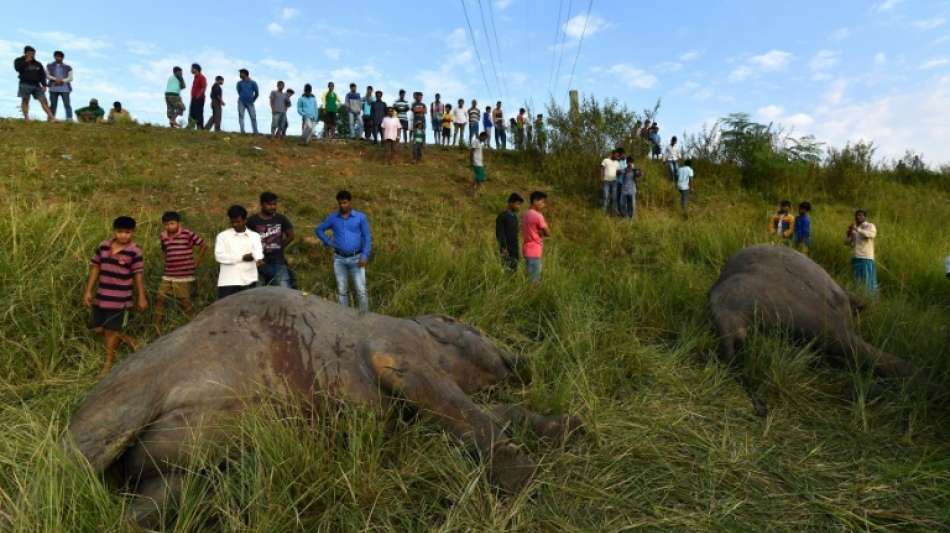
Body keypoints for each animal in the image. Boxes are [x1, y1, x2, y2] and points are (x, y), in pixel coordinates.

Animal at [65, 286, 580, 524]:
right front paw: (524, 478)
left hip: (185, 466)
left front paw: (566, 428)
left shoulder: (413, 411)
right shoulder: (400, 354)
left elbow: (487, 415)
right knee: (72, 463)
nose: (523, 360)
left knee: (154, 499)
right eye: (477, 331)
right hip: (125, 398)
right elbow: (465, 411)